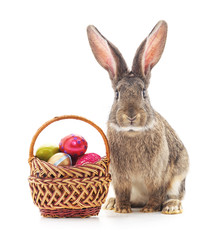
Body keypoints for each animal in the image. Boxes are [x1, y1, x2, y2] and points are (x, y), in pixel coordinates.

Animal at [87, 20, 188, 215]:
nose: (131, 115)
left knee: (174, 195)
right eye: (117, 94)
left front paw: (149, 210)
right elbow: (122, 193)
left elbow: (156, 193)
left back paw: (171, 206)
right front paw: (122, 209)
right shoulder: (120, 178)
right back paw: (111, 203)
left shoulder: (157, 176)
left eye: (144, 92)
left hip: (178, 179)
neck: (132, 132)